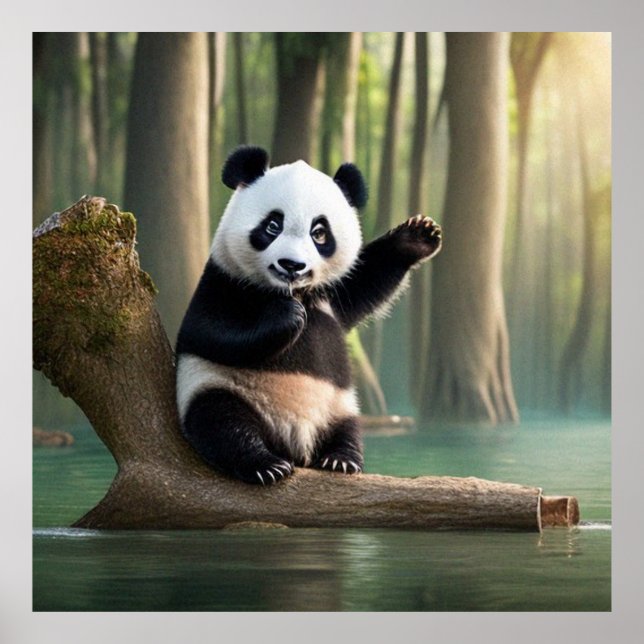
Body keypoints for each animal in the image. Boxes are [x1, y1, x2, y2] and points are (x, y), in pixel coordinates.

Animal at [176, 145, 442, 485]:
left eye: (320, 233)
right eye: (272, 226)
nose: (291, 265)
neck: (293, 291)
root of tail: (293, 444)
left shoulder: (333, 296)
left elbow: (368, 279)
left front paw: (419, 235)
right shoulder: (221, 281)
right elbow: (209, 331)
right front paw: (288, 316)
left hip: (338, 407)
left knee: (348, 430)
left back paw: (341, 458)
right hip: (217, 385)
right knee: (223, 422)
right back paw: (264, 463)